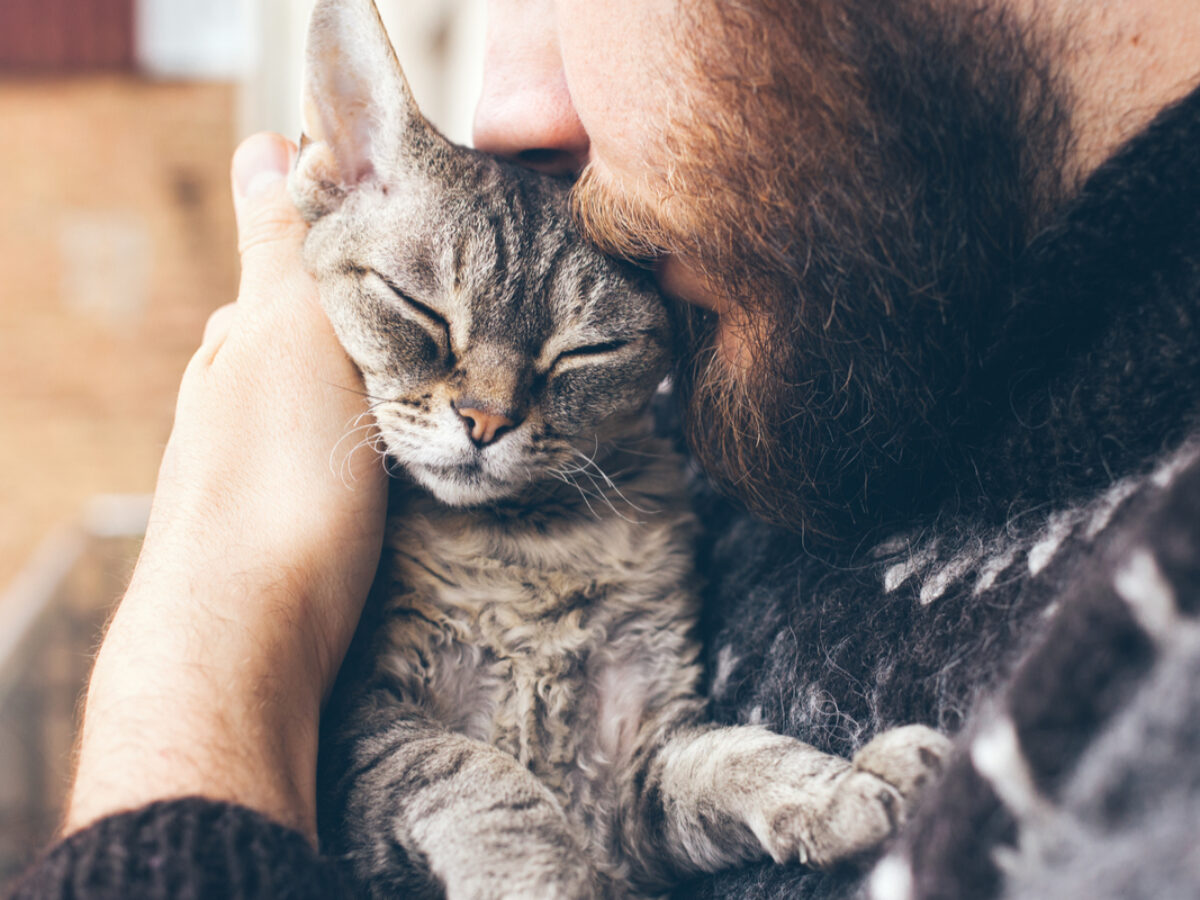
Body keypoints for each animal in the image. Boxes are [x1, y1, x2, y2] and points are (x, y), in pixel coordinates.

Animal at [288, 1, 945, 897]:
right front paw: (539, 873)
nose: (485, 420)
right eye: (418, 308)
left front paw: (842, 786)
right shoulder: (358, 728)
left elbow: (734, 756)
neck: (527, 550)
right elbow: (481, 776)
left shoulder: (639, 762)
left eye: (584, 353)